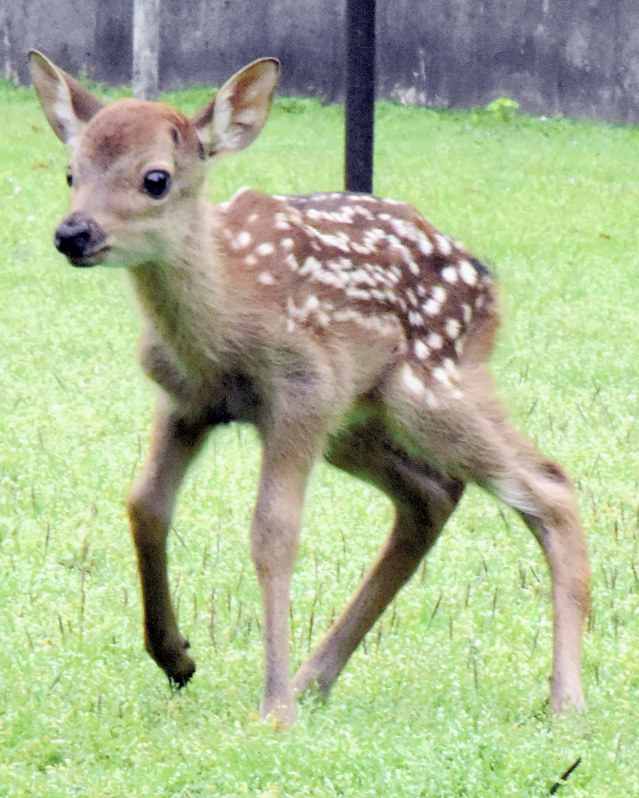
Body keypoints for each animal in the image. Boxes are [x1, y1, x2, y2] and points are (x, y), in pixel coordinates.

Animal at [28, 48, 592, 724]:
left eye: (155, 178)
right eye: (70, 172)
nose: (73, 234)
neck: (226, 322)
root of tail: (488, 286)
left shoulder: (303, 389)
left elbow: (273, 532)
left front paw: (271, 708)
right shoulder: (185, 399)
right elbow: (145, 505)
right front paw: (176, 657)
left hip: (429, 387)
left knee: (548, 485)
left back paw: (565, 701)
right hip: (358, 422)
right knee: (431, 495)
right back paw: (314, 678)